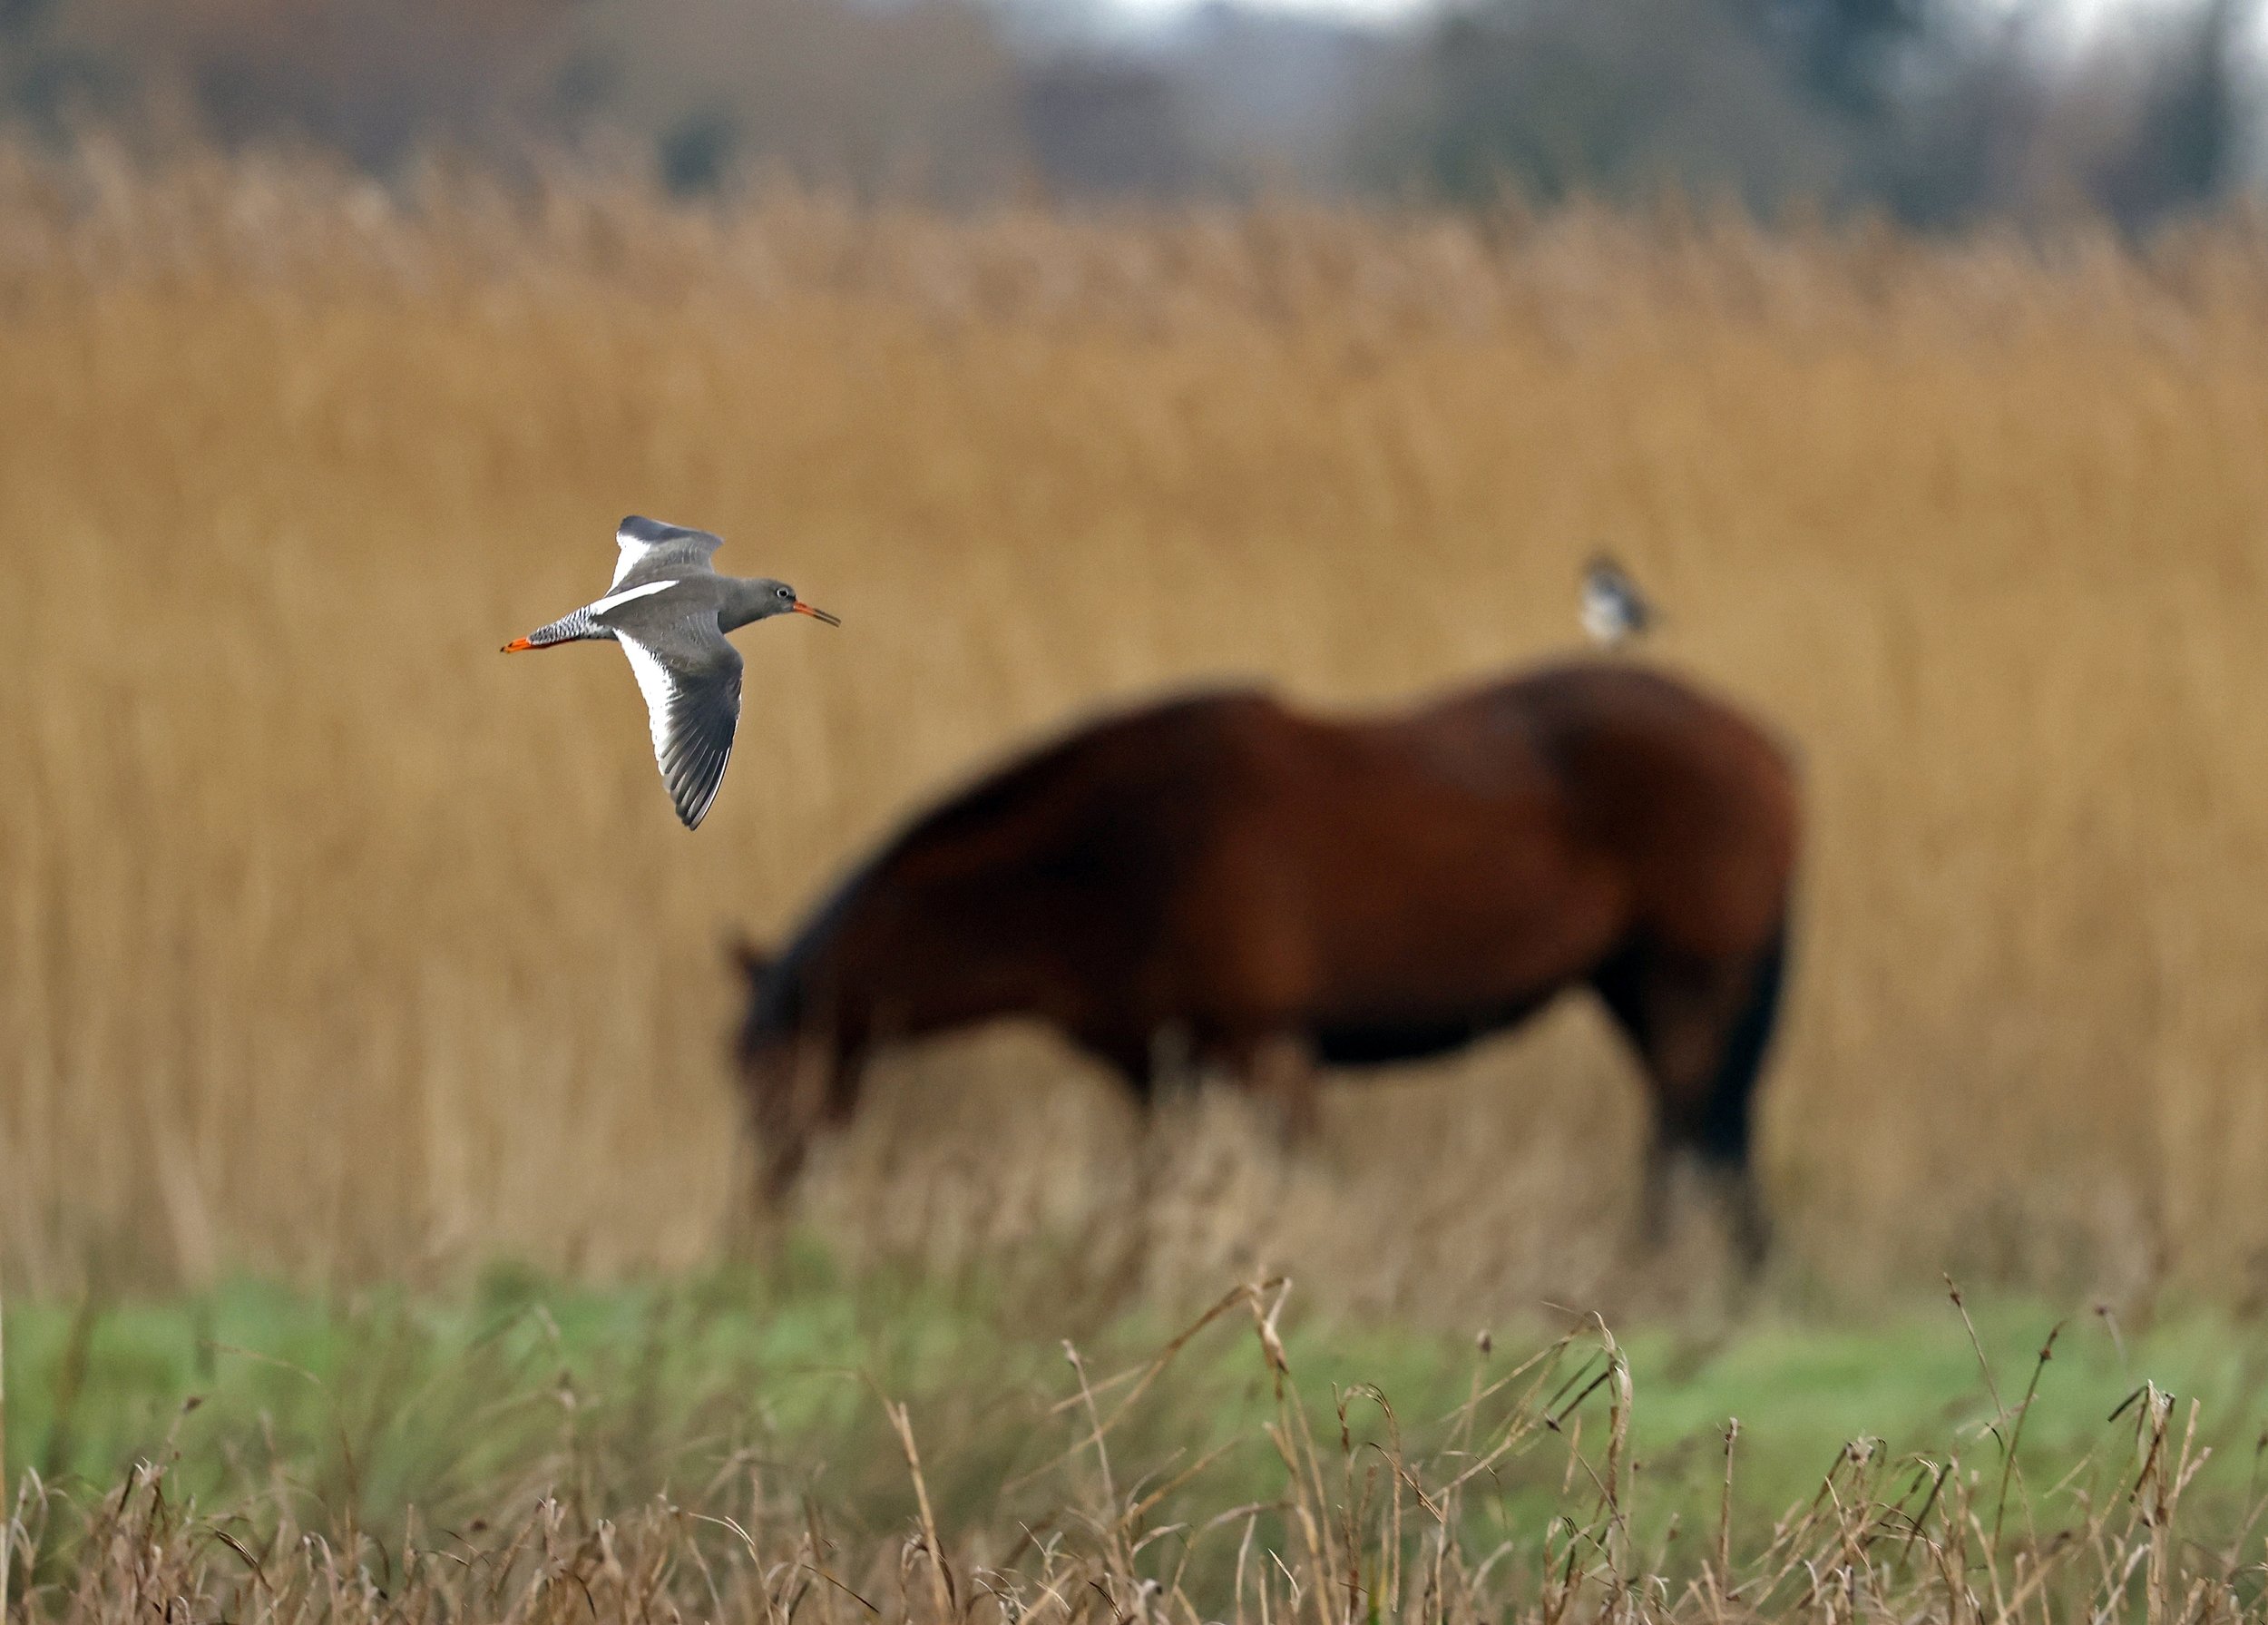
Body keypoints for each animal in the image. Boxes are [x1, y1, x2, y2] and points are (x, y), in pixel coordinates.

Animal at [732, 661, 1799, 1260]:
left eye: (769, 1074)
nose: (761, 1225)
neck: (1115, 849)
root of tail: (1760, 740)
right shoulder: (1159, 1067)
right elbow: (1158, 1188)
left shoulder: (1266, 1051)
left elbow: (1303, 1176)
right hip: (1634, 987)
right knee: (1711, 1130)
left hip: (1686, 983)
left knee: (1685, 1126)